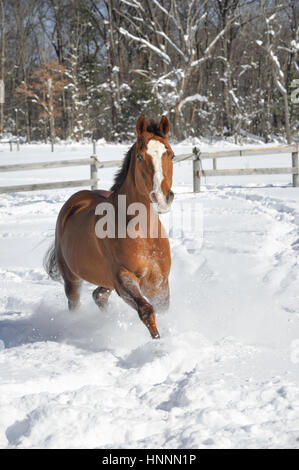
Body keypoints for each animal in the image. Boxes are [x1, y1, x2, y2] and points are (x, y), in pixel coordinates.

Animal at [44, 115, 176, 340]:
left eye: (172, 155)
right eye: (140, 157)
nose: (162, 197)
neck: (144, 234)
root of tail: (76, 199)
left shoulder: (159, 283)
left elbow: (163, 310)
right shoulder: (123, 278)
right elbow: (146, 310)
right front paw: (158, 343)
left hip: (106, 281)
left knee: (99, 295)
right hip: (72, 279)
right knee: (75, 303)